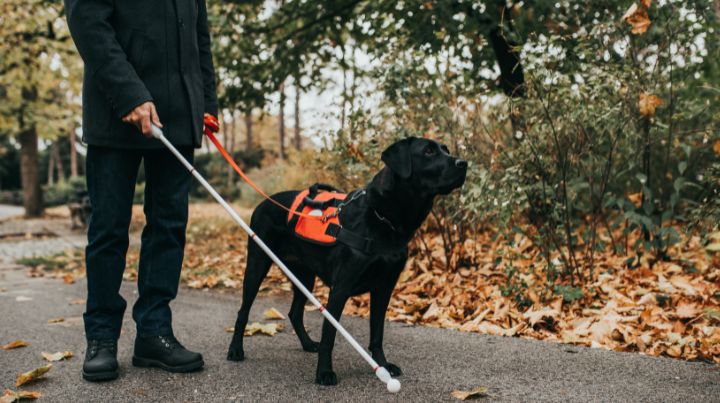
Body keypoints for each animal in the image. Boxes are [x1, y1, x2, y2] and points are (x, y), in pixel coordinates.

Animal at [228, 137, 470, 386]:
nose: (464, 163)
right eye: (429, 151)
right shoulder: (340, 289)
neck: (382, 218)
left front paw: (383, 365)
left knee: (294, 313)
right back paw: (235, 350)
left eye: (445, 150)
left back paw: (307, 344)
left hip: (304, 275)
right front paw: (324, 372)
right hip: (257, 264)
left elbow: (377, 333)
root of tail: (263, 202)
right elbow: (330, 335)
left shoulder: (384, 288)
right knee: (243, 311)